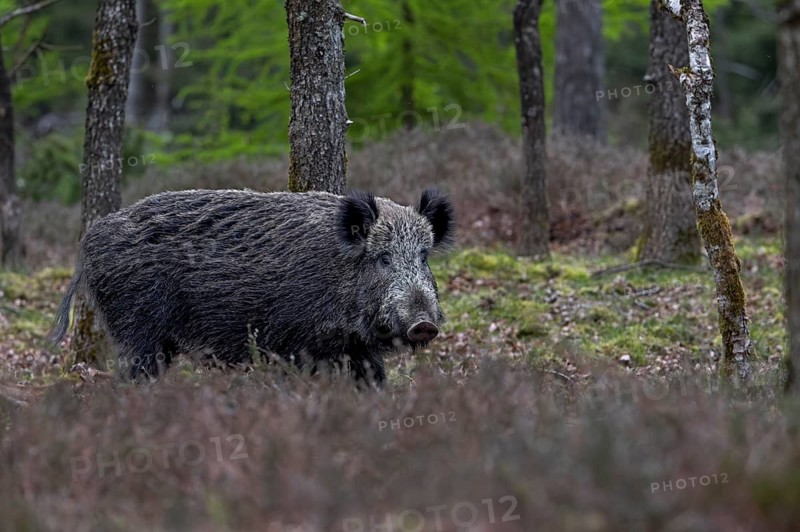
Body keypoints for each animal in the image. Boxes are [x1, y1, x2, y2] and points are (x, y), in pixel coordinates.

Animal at [47, 188, 455, 384]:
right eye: (383, 258)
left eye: (423, 256)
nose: (424, 324)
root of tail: (89, 242)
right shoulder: (294, 344)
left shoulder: (357, 350)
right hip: (138, 327)